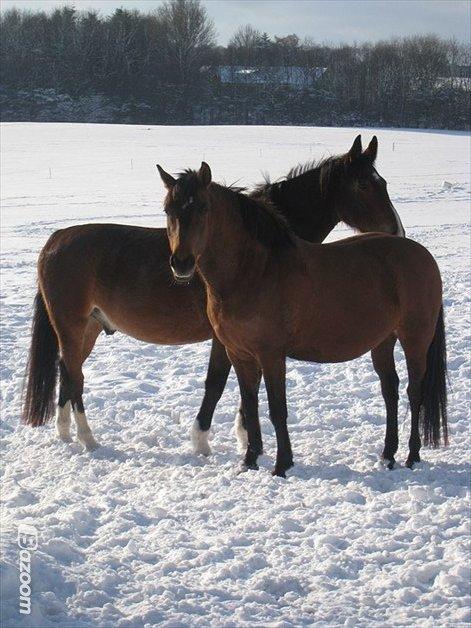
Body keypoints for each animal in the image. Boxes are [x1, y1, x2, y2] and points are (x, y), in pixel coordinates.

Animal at [23, 136, 406, 452]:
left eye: (383, 182)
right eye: (362, 184)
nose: (397, 231)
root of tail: (56, 240)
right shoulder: (224, 338)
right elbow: (217, 383)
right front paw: (207, 441)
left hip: (86, 329)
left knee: (66, 370)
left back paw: (65, 432)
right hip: (72, 326)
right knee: (75, 375)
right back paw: (88, 438)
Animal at [160, 162, 448, 476]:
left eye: (202, 207)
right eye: (168, 209)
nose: (181, 263)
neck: (254, 271)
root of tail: (423, 255)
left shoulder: (271, 355)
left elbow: (277, 409)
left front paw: (281, 465)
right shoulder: (239, 354)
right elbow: (250, 406)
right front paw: (249, 461)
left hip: (415, 339)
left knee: (414, 391)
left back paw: (412, 456)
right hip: (383, 341)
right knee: (390, 391)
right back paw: (388, 456)